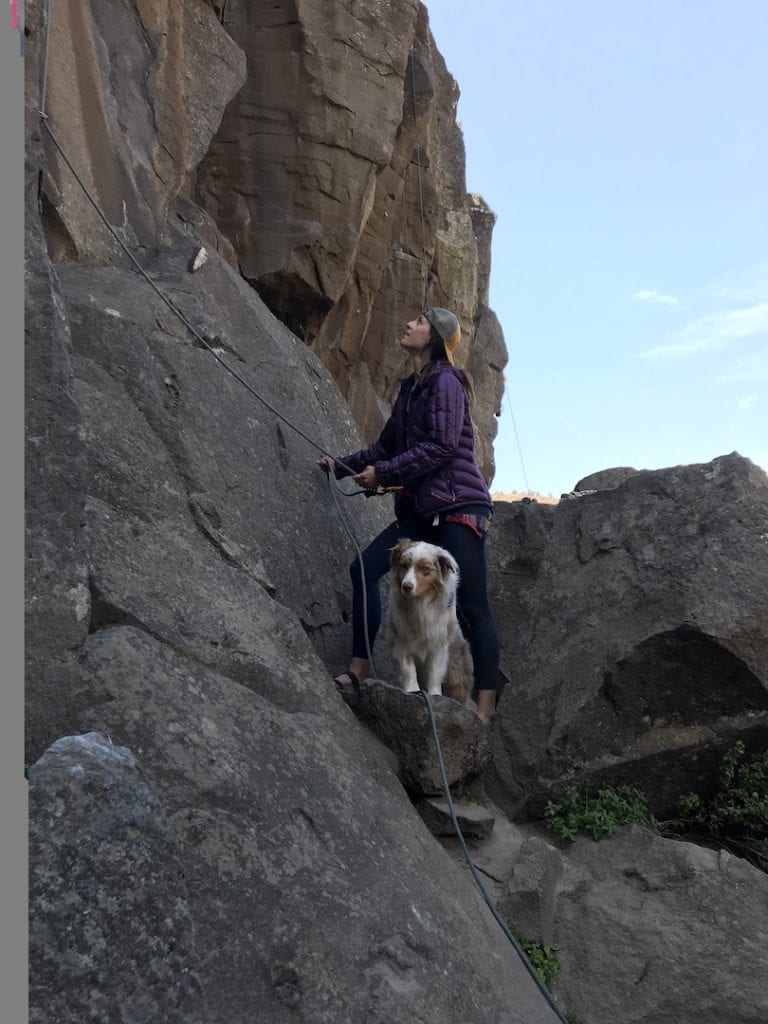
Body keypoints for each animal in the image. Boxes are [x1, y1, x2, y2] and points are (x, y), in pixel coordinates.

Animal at [385, 536, 475, 704]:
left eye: (425, 570)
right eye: (404, 566)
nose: (406, 586)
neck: (419, 603)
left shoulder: (438, 640)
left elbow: (434, 671)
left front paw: (435, 694)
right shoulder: (401, 637)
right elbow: (408, 668)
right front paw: (412, 690)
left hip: (457, 673)